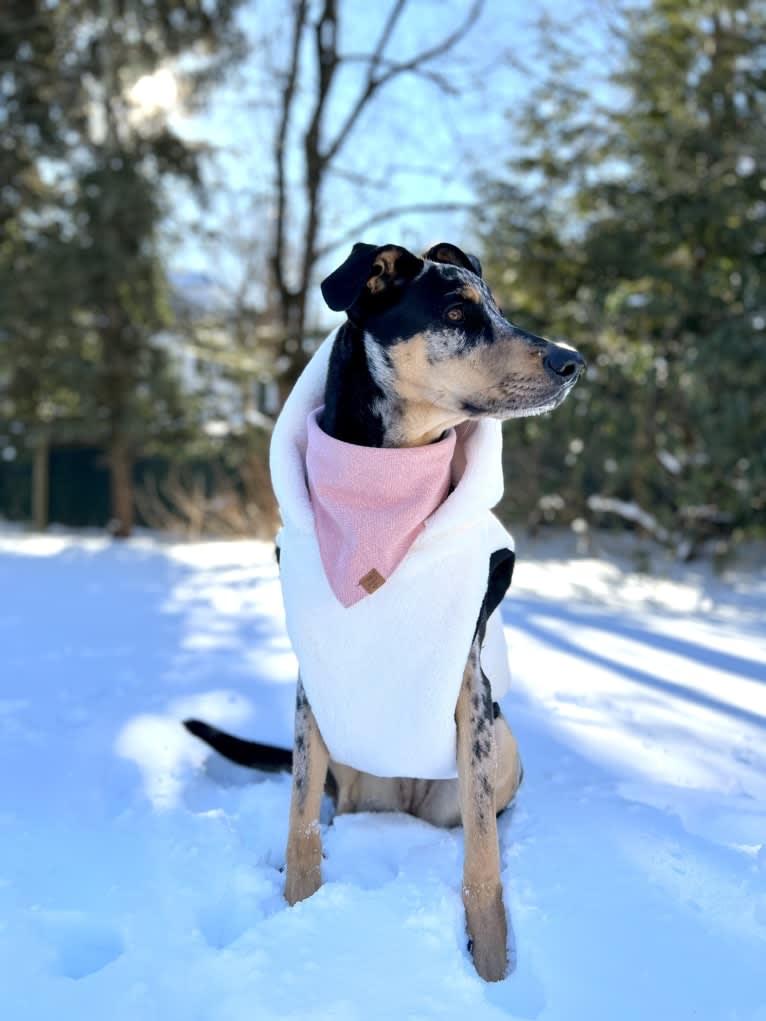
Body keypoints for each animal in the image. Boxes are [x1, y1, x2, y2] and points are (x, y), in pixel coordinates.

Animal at [184, 238, 580, 980]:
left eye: (500, 310)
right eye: (455, 312)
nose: (574, 361)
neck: (381, 480)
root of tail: (401, 799)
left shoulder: (469, 684)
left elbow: (482, 861)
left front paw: (492, 970)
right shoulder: (312, 679)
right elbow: (300, 823)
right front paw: (296, 908)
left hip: (499, 741)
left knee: (484, 819)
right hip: (344, 757)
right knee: (326, 806)